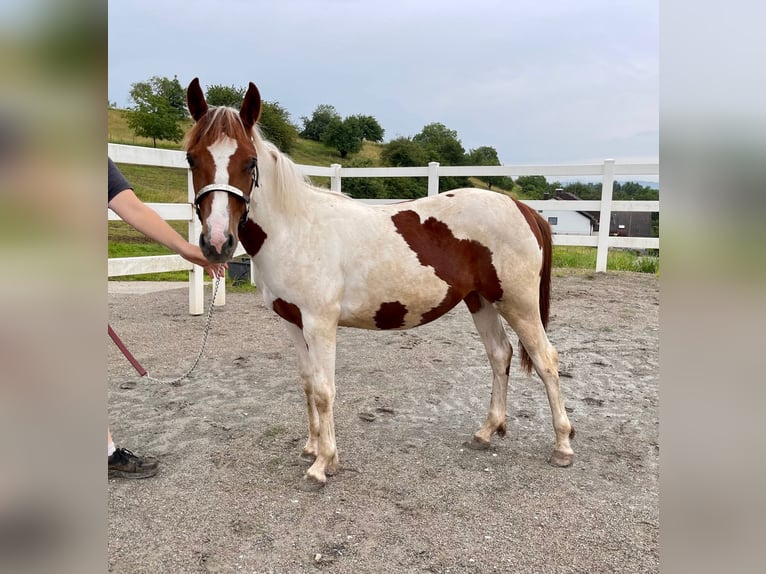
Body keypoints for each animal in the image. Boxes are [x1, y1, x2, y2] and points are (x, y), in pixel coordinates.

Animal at [183, 76, 572, 490]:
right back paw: (486, 431)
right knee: (500, 354)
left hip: (518, 303)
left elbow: (324, 390)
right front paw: (311, 446)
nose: (217, 242)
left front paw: (324, 463)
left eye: (249, 162)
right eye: (192, 159)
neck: (297, 228)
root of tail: (522, 208)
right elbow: (308, 383)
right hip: (480, 300)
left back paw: (563, 445)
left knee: (546, 359)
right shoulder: (292, 322)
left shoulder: (320, 323)